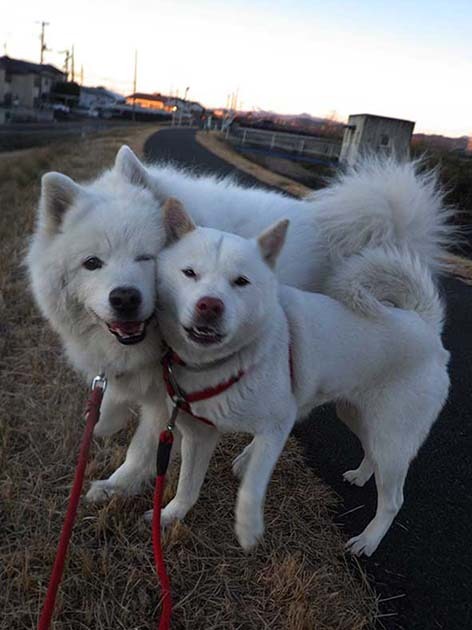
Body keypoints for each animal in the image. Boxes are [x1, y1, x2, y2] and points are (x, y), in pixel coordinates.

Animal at [26, 146, 452, 502]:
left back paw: (249, 460)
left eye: (147, 257)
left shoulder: (168, 396)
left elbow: (141, 448)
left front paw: (118, 485)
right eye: (92, 263)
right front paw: (101, 421)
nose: (125, 298)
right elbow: (115, 397)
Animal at [152, 198, 450, 556]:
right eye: (189, 273)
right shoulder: (200, 436)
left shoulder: (277, 426)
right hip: (358, 417)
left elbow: (253, 486)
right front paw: (170, 515)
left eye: (241, 281)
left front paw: (248, 529)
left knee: (393, 499)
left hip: (392, 437)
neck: (222, 363)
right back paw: (361, 475)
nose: (210, 305)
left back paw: (368, 540)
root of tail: (424, 323)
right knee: (371, 454)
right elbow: (188, 486)